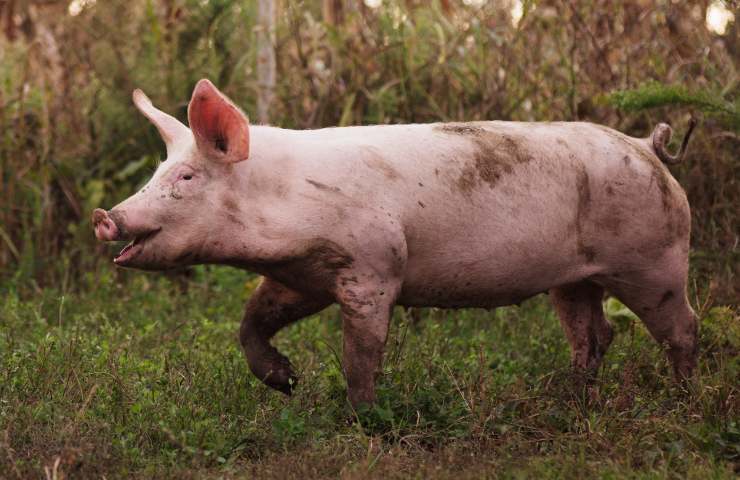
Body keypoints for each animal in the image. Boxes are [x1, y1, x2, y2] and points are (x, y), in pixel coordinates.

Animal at [93, 79, 698, 407]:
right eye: (157, 171)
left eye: (185, 178)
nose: (107, 217)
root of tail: (647, 147)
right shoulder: (303, 276)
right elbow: (251, 322)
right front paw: (287, 383)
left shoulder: (374, 267)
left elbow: (360, 357)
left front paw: (361, 418)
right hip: (575, 279)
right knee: (594, 335)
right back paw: (573, 400)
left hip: (655, 258)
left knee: (682, 329)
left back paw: (682, 401)